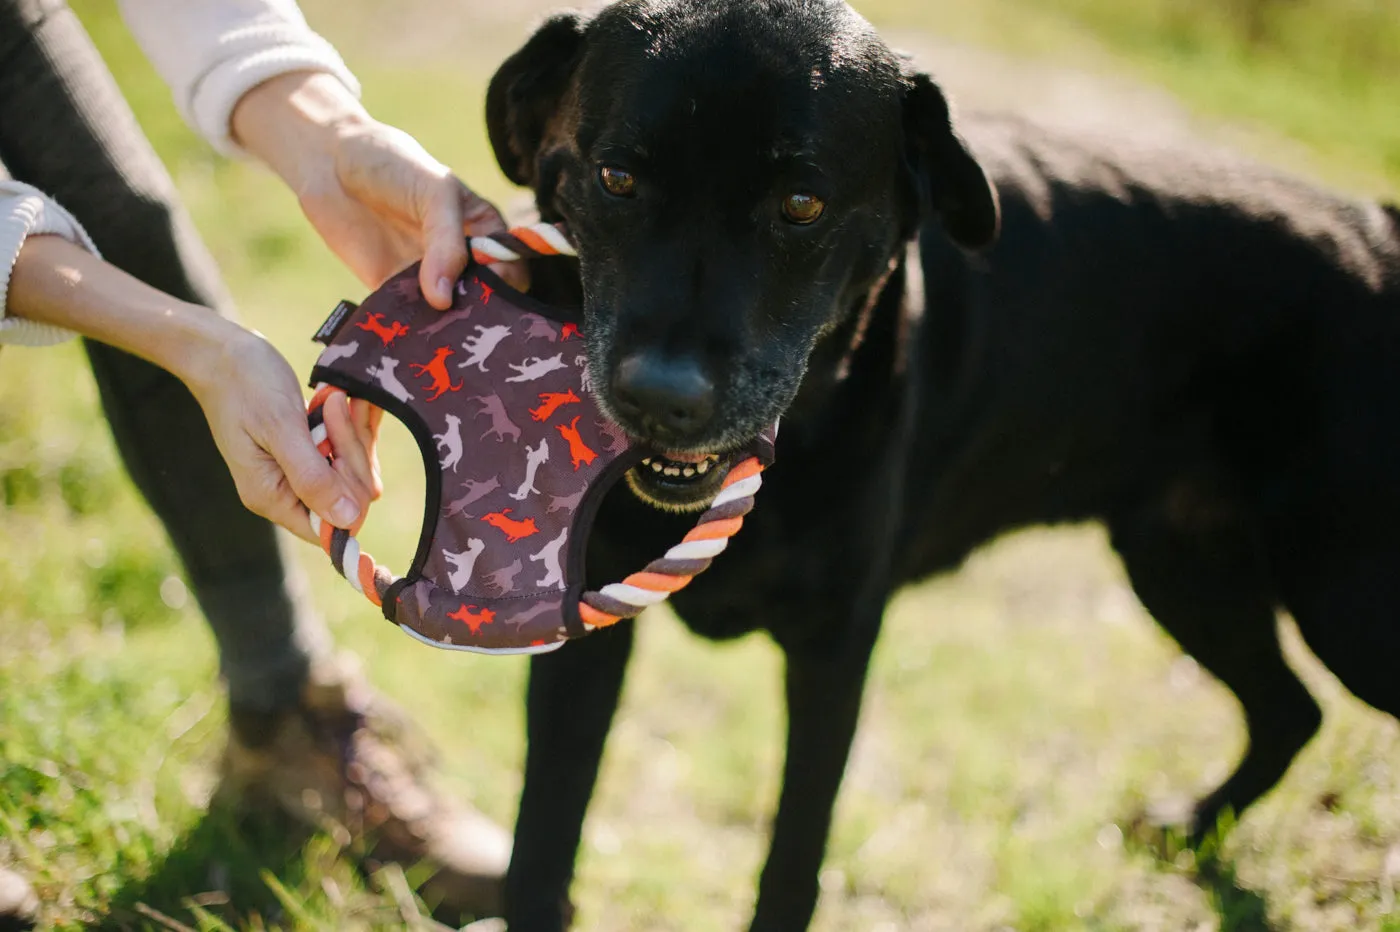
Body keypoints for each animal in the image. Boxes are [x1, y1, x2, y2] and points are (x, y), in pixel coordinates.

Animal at [484, 0, 1400, 923]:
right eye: (617, 179)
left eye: (802, 203)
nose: (661, 396)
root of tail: (1377, 225)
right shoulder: (589, 624)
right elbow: (546, 823)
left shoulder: (835, 645)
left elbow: (795, 851)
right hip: (1189, 571)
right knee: (1291, 711)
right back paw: (1190, 828)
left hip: (1343, 601)